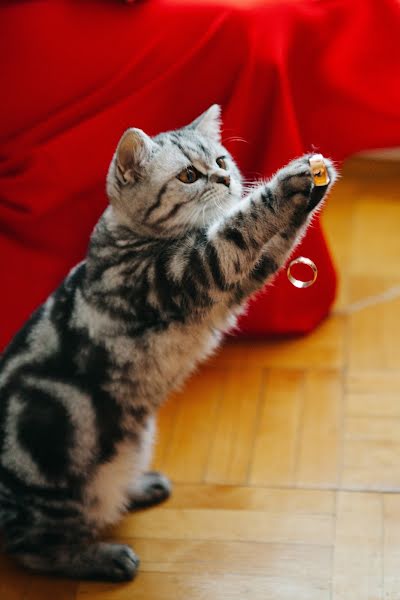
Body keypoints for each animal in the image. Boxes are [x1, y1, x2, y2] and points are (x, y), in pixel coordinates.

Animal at [0, 104, 338, 580]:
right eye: (188, 176)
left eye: (220, 161)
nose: (225, 179)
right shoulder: (194, 269)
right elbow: (244, 223)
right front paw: (291, 181)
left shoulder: (236, 285)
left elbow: (275, 242)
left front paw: (316, 178)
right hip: (55, 485)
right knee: (32, 549)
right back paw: (105, 558)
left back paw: (139, 486)